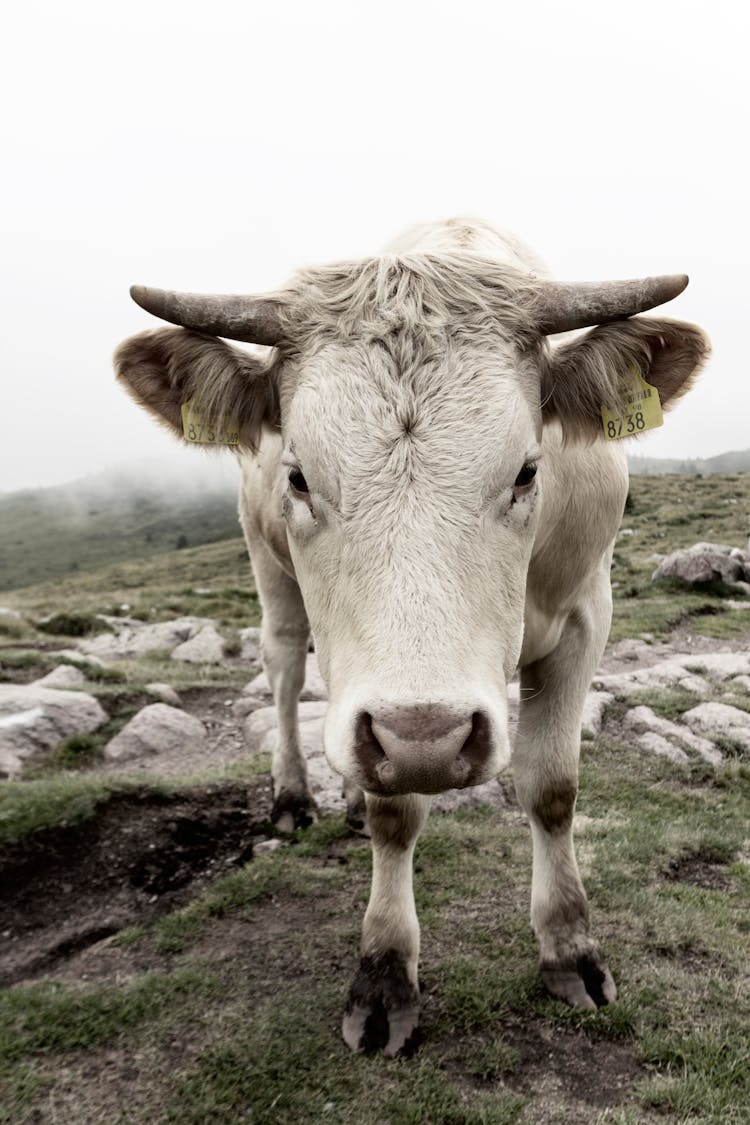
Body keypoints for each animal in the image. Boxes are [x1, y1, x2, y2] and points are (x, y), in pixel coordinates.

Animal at [114, 217, 706, 1053]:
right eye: (298, 475)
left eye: (528, 469)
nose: (426, 737)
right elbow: (396, 815)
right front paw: (385, 973)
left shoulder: (586, 614)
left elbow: (552, 788)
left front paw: (570, 948)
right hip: (272, 575)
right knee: (286, 669)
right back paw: (295, 797)